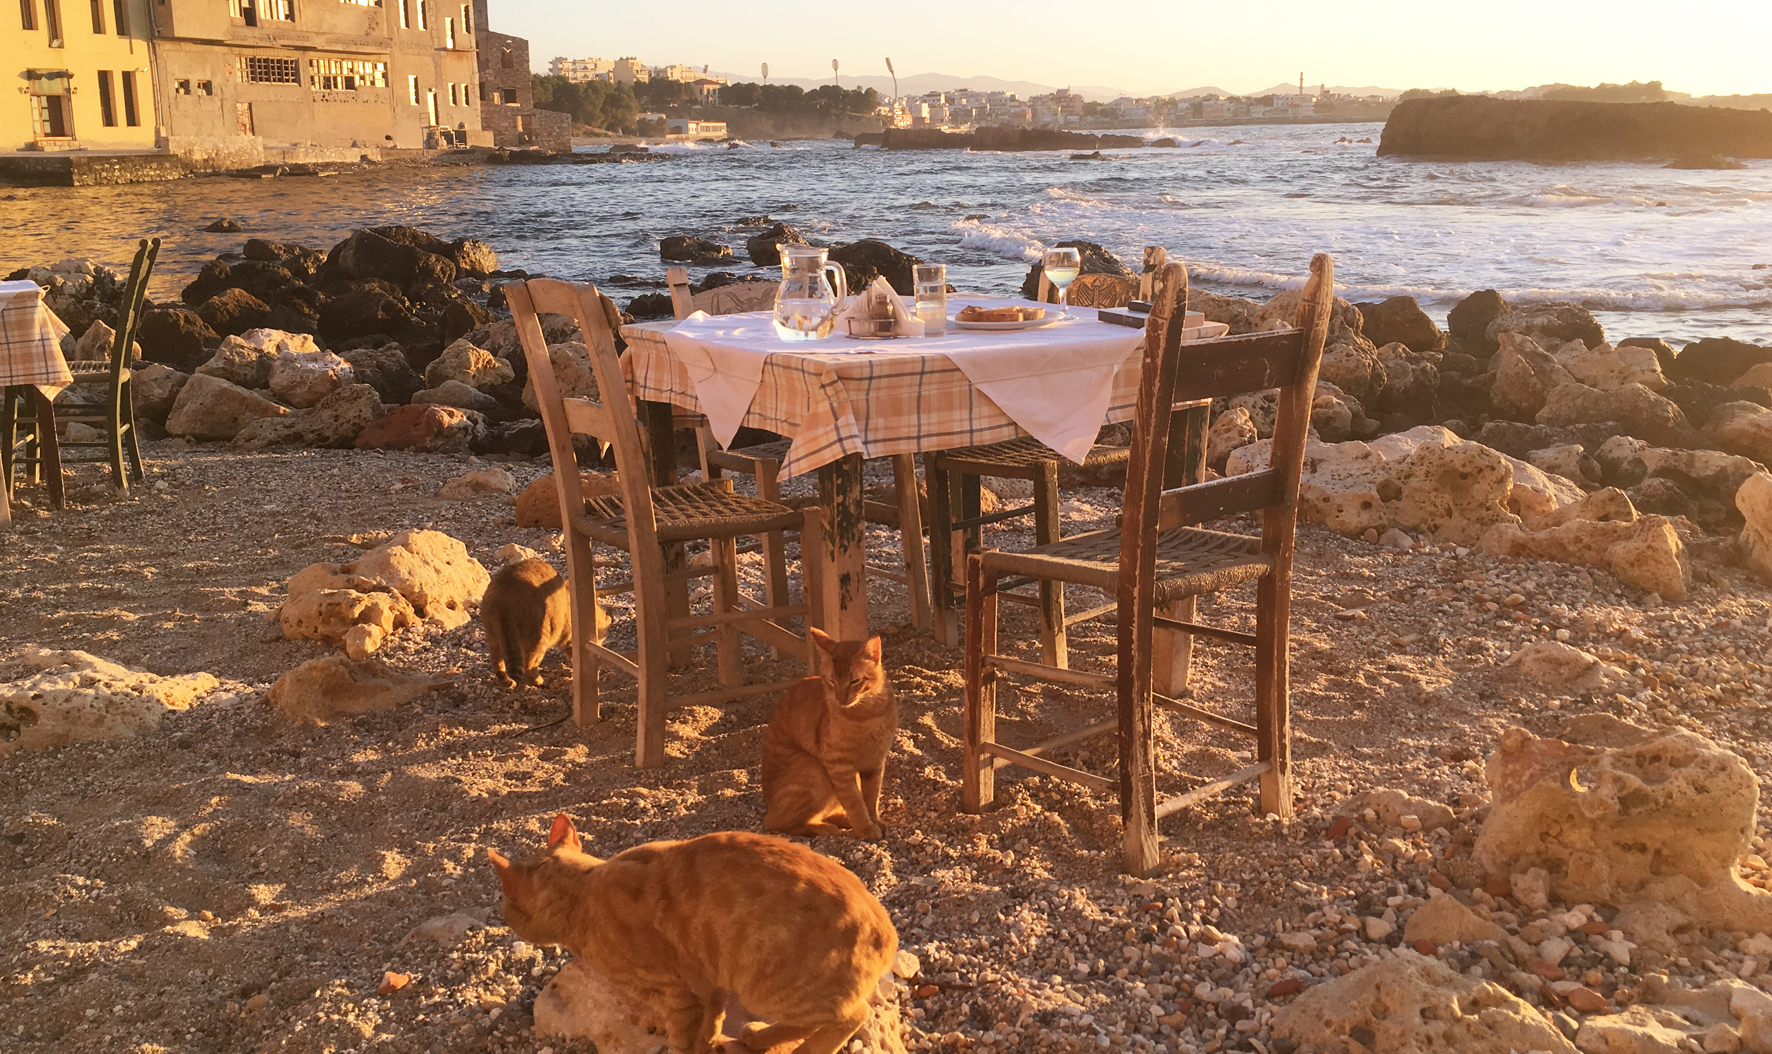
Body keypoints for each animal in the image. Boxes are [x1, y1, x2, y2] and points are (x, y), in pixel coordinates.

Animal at [478, 559, 609, 694]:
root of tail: (503, 598)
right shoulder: (569, 636)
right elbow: (573, 654)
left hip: (494, 636)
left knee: (497, 664)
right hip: (539, 638)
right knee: (529, 666)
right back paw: (540, 682)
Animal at [489, 814, 893, 1054]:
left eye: (505, 904)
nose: (502, 915)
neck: (584, 891)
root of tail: (887, 933)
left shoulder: (678, 992)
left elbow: (684, 1038)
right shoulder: (709, 986)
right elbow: (709, 1027)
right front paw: (712, 1044)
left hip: (770, 986)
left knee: (851, 1016)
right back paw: (758, 1037)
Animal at [761, 630, 900, 846]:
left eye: (854, 681)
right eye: (832, 681)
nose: (840, 697)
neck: (867, 714)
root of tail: (767, 802)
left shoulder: (874, 763)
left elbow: (870, 797)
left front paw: (873, 820)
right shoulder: (838, 765)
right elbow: (854, 801)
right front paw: (865, 827)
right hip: (814, 768)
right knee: (775, 822)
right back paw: (825, 828)